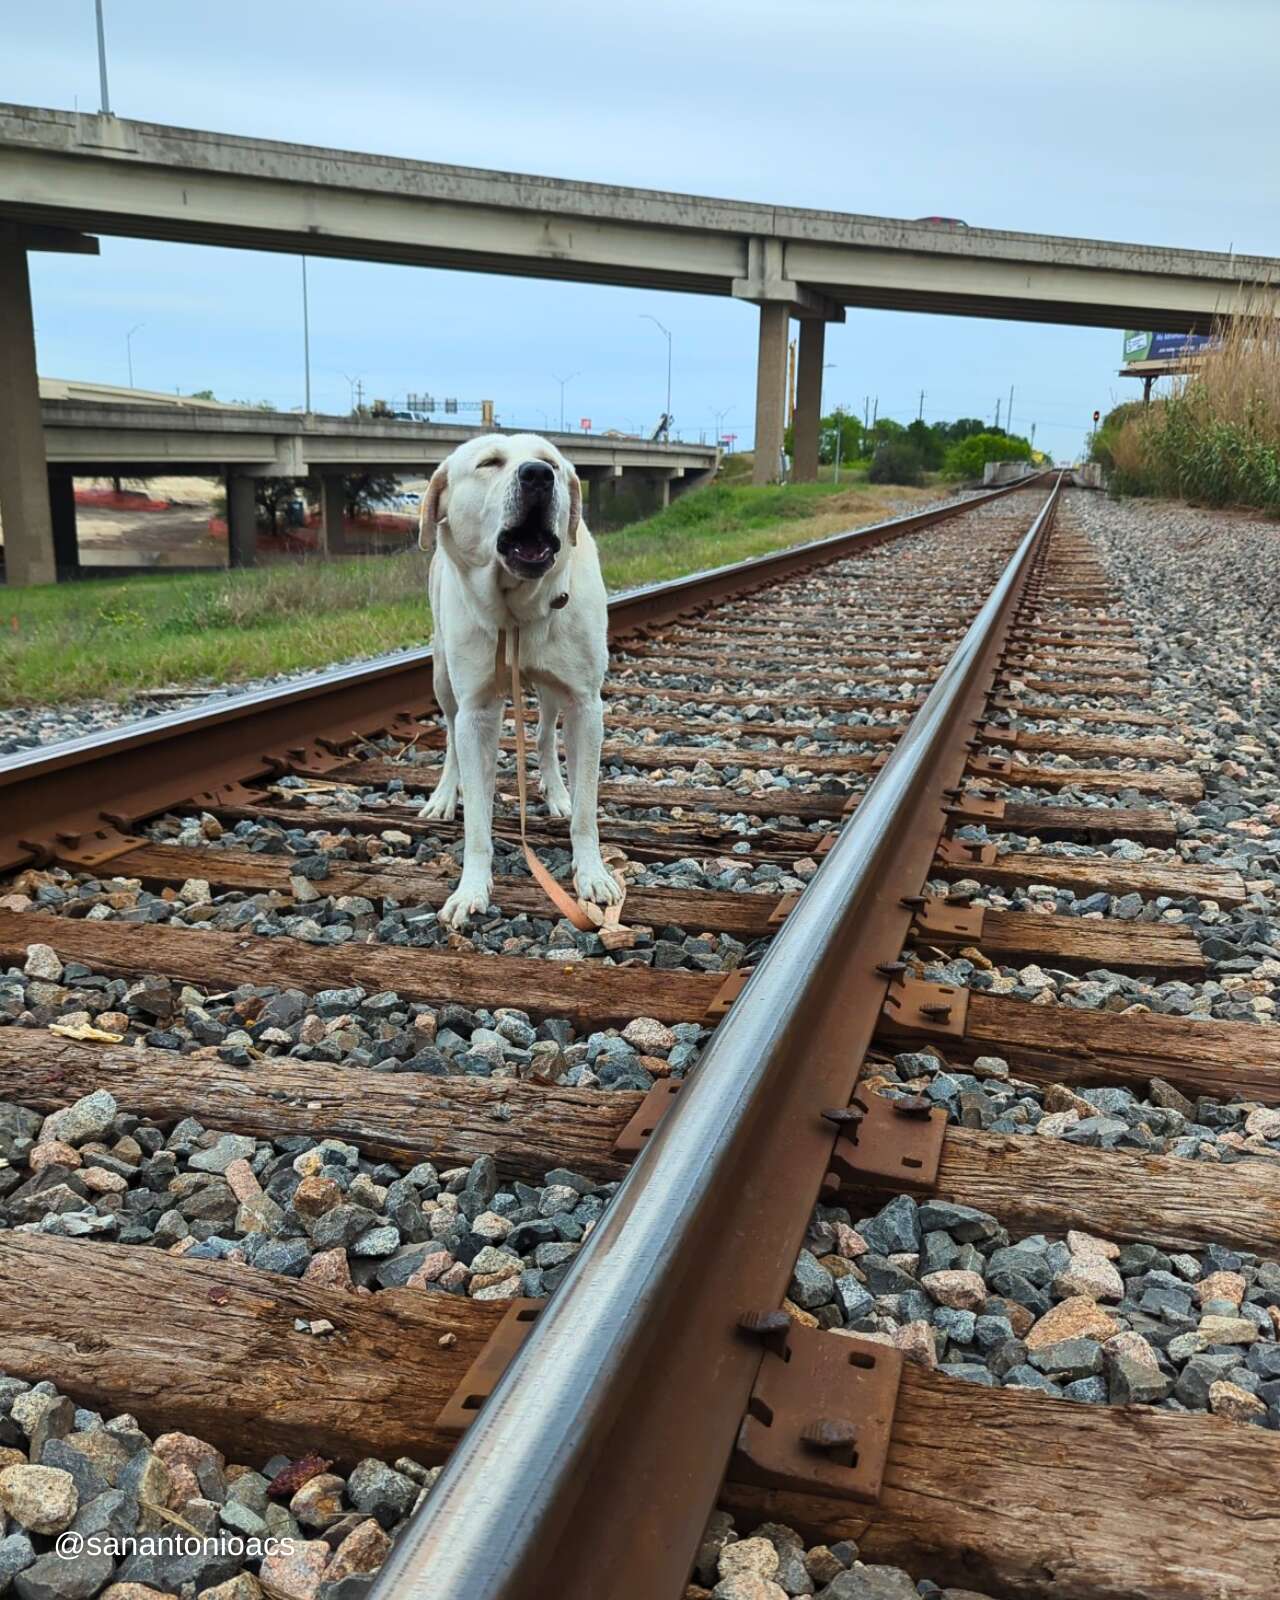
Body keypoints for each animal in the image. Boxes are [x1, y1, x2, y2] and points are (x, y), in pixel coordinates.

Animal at [416, 432, 624, 934]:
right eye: (489, 463)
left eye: (551, 461)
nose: (538, 475)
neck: (516, 610)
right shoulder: (475, 711)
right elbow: (477, 819)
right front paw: (471, 889)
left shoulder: (586, 705)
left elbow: (587, 808)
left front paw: (592, 874)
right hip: (442, 676)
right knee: (449, 736)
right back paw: (443, 796)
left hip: (552, 692)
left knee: (547, 735)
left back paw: (557, 793)